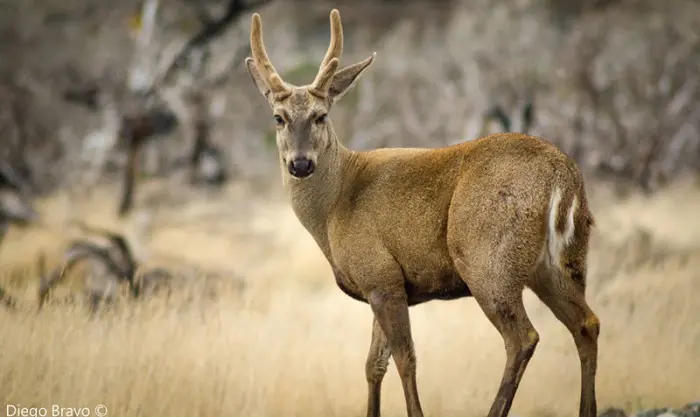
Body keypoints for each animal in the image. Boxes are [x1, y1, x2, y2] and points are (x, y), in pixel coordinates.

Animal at [243, 8, 600, 416]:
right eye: (278, 117)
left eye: (321, 116)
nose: (300, 164)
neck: (334, 206)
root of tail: (563, 175)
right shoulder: (382, 283)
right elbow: (373, 364)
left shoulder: (381, 276)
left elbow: (405, 359)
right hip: (560, 264)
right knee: (587, 323)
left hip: (487, 258)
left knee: (523, 337)